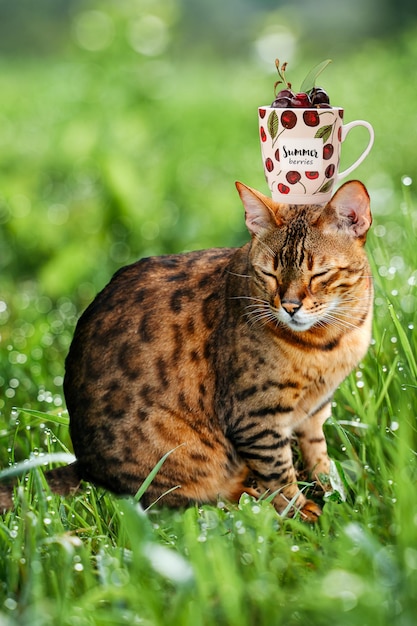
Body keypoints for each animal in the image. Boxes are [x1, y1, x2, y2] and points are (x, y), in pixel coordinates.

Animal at [48, 178, 370, 520]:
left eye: (319, 274)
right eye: (269, 274)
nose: (290, 306)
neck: (330, 341)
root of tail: (85, 467)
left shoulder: (316, 410)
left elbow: (319, 457)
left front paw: (334, 491)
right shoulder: (255, 418)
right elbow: (279, 475)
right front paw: (302, 514)